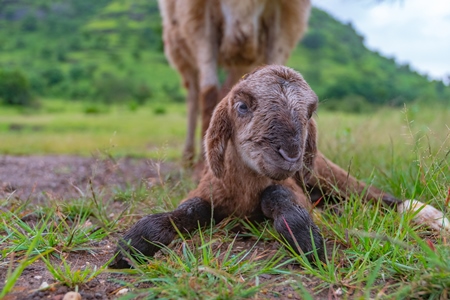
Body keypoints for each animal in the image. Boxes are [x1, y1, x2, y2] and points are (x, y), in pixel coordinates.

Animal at [110, 65, 450, 268]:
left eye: (309, 113)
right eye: (241, 106)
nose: (291, 154)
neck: (246, 188)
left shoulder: (290, 186)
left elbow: (277, 195)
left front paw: (306, 241)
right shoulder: (210, 188)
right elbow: (192, 208)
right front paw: (133, 245)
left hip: (326, 174)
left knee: (371, 195)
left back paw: (428, 215)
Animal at [159, 0, 312, 163]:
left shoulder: (288, 16)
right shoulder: (195, 14)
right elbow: (209, 92)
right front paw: (204, 164)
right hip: (179, 48)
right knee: (193, 95)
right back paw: (188, 157)